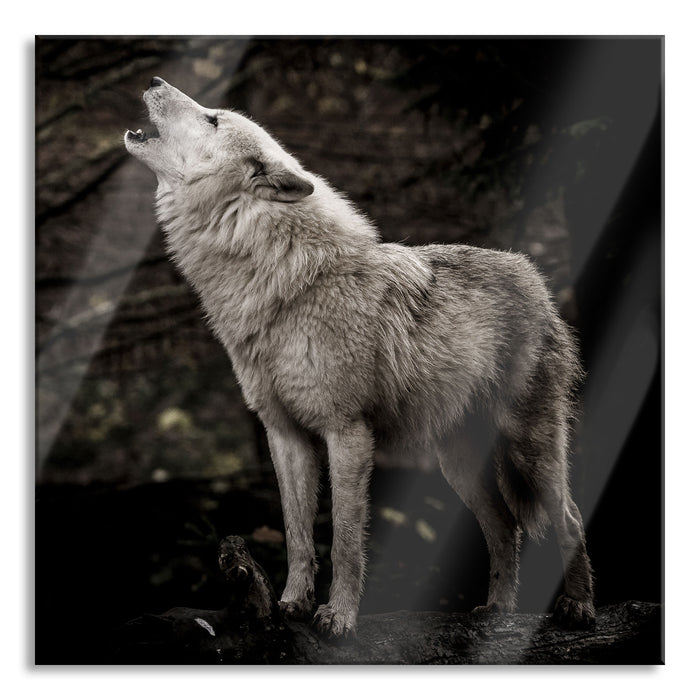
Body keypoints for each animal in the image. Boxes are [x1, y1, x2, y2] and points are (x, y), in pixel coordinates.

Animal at [125, 77, 595, 638]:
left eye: (213, 118)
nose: (155, 80)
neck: (284, 284)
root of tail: (534, 277)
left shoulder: (346, 432)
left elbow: (346, 540)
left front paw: (339, 617)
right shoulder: (284, 435)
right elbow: (298, 534)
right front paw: (291, 603)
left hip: (529, 449)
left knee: (569, 518)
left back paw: (579, 608)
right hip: (457, 464)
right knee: (505, 527)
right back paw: (497, 611)